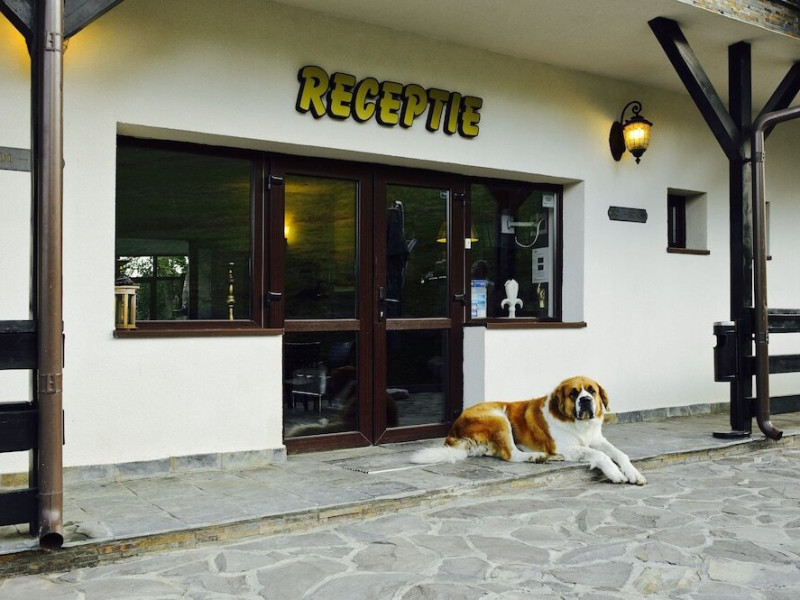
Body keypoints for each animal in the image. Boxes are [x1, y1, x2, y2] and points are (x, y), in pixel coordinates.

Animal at [410, 376, 646, 485]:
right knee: (510, 454)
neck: (578, 425)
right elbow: (600, 455)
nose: (586, 400)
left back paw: (547, 458)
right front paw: (615, 473)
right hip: (499, 417)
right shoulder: (568, 447)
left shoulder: (596, 439)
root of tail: (454, 430)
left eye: (592, 391)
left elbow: (619, 453)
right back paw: (538, 457)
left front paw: (634, 473)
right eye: (573, 393)